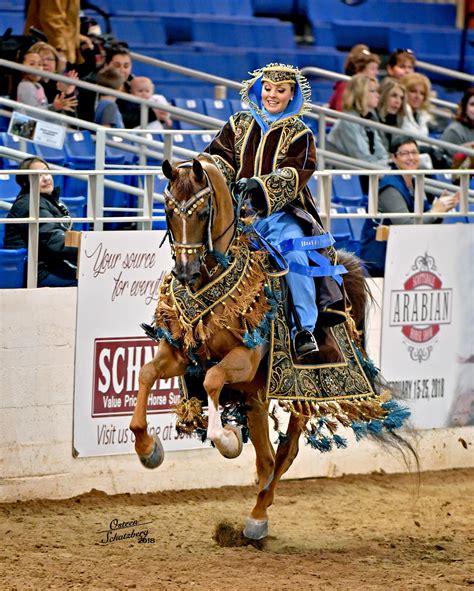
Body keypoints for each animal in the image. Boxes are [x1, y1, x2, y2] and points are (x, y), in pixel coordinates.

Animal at [130, 154, 374, 540]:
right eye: (169, 211)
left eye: (202, 213)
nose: (184, 271)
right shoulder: (180, 354)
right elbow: (147, 373)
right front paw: (148, 448)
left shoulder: (243, 360)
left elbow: (213, 379)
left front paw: (226, 438)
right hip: (255, 395)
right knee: (266, 458)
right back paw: (257, 511)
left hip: (300, 388)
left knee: (284, 453)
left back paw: (258, 516)